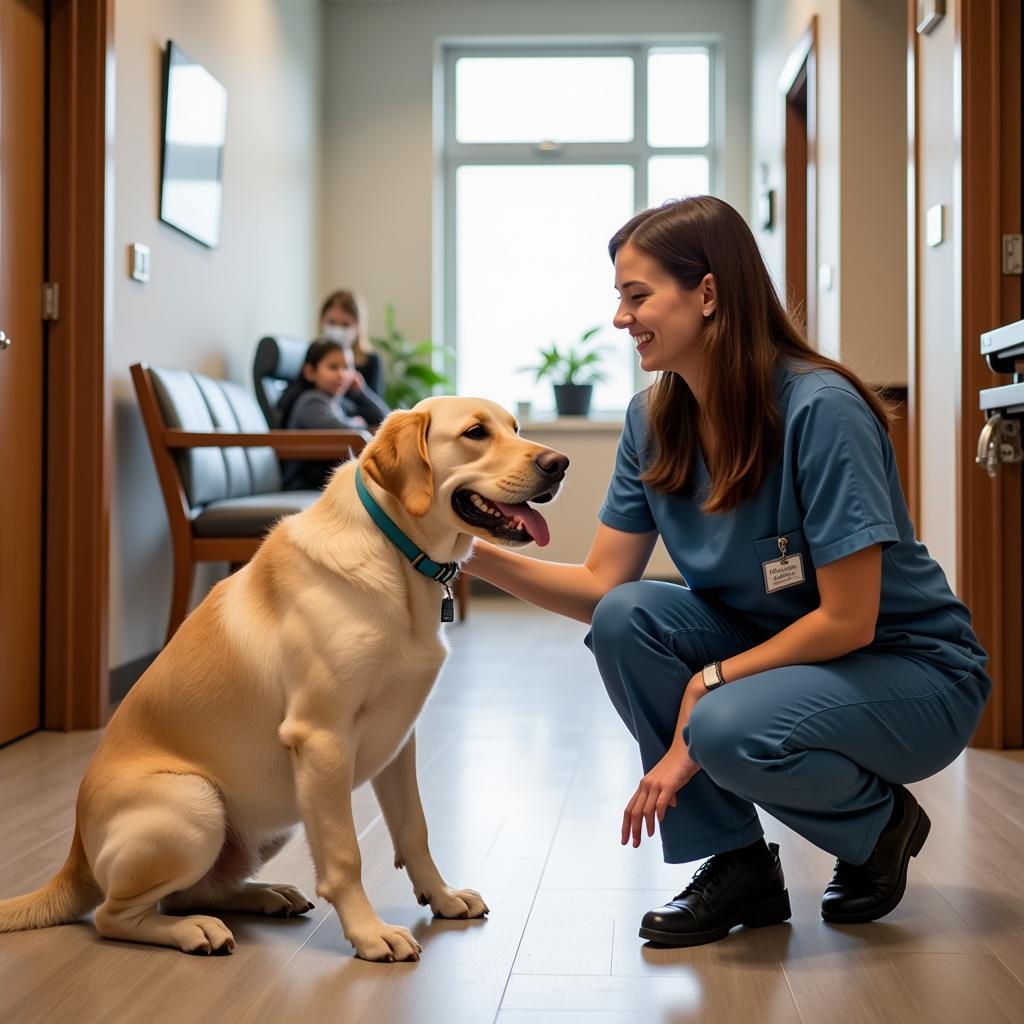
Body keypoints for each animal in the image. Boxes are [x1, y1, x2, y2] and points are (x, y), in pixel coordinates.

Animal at [0, 397, 569, 958]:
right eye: (475, 433)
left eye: (516, 428)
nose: (559, 463)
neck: (396, 555)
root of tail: (74, 853)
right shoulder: (322, 739)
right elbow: (345, 855)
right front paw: (369, 933)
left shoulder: (399, 740)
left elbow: (415, 831)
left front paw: (443, 897)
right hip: (198, 803)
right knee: (115, 916)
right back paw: (194, 932)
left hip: (272, 816)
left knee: (192, 892)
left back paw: (265, 895)